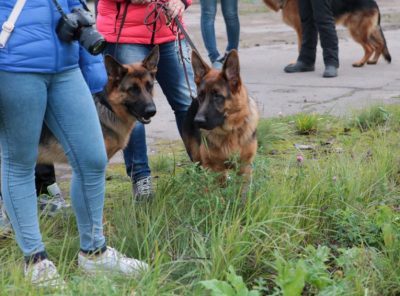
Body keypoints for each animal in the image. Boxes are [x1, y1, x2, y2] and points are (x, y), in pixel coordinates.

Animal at [182, 50, 258, 184]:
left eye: (217, 96)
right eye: (201, 95)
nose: (197, 121)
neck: (229, 132)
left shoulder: (245, 167)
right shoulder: (213, 168)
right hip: (197, 159)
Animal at [262, 0, 390, 67]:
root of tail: (374, 2)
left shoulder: (302, 29)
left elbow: (300, 47)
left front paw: (299, 63)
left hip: (356, 31)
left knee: (370, 48)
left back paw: (360, 63)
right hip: (368, 31)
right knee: (379, 45)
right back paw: (373, 61)